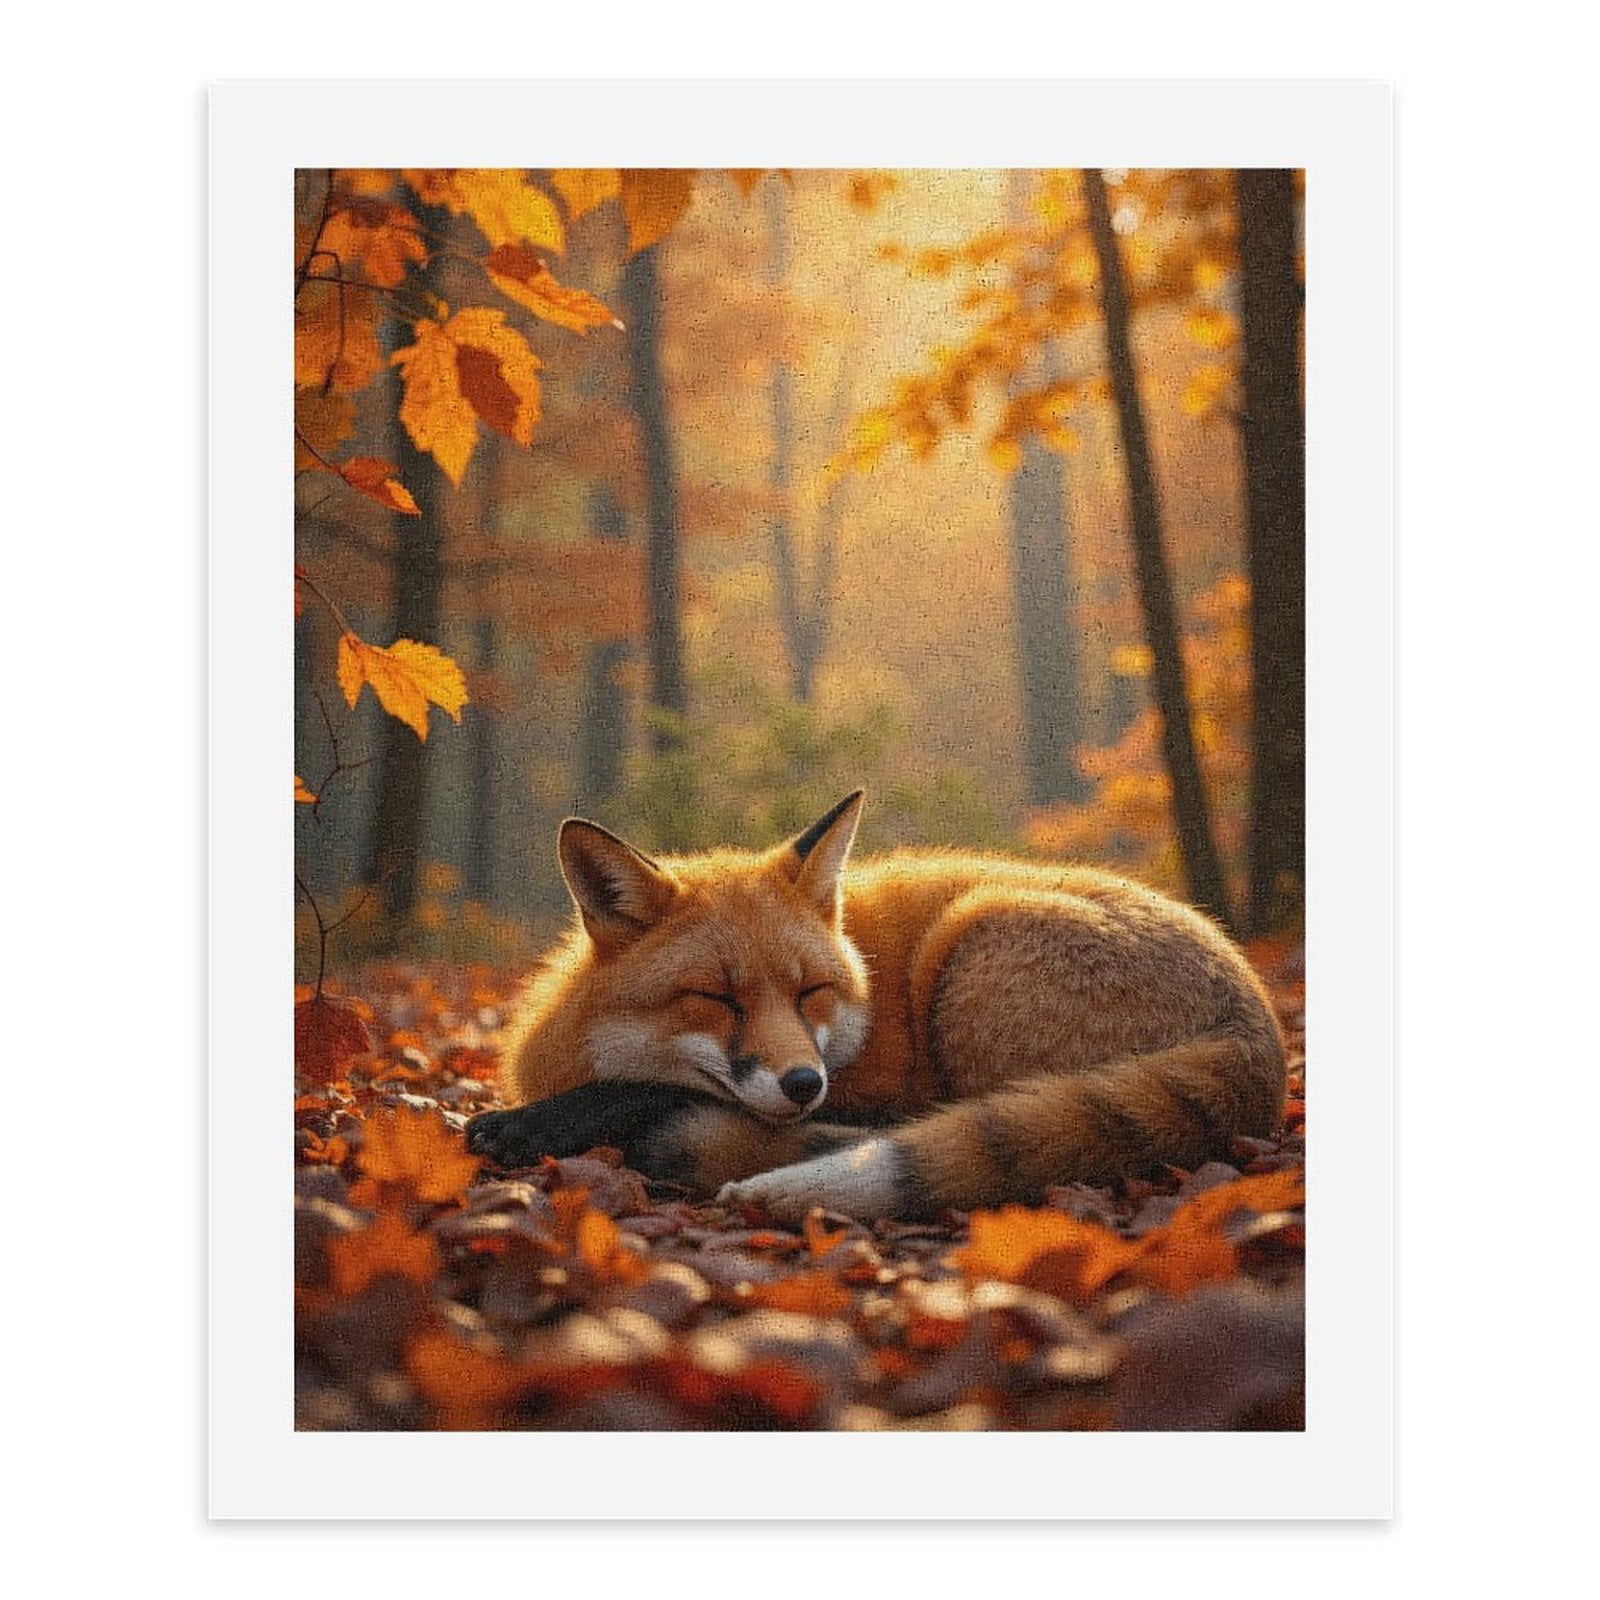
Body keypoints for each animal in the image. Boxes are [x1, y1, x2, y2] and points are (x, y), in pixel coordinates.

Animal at [466, 790, 1286, 1223]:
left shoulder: (872, 1083)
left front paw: (530, 1125)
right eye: (715, 998)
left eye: (810, 991)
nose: (804, 1083)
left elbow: (645, 1086)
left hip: (970, 952)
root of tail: (1258, 1026)